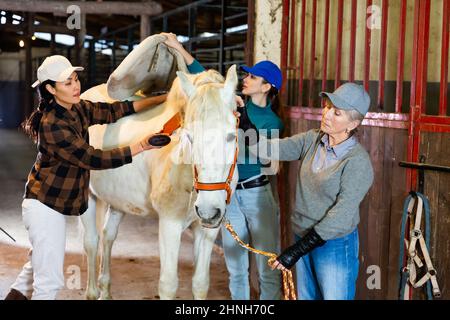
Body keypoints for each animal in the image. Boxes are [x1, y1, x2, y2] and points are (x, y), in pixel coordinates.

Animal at [78, 63, 239, 300]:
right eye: (189, 136)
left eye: (231, 136)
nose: (208, 210)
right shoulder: (169, 223)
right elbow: (168, 284)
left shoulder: (207, 229)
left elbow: (201, 283)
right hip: (88, 197)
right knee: (91, 242)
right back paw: (92, 291)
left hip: (118, 202)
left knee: (108, 236)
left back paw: (105, 289)